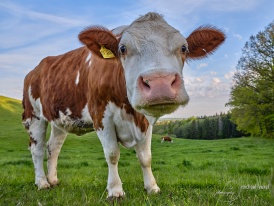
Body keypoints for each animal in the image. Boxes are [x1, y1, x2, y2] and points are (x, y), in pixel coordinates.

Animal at [22, 12, 225, 199]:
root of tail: (34, 70)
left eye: (184, 48)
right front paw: (115, 190)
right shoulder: (101, 115)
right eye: (122, 48)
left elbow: (145, 157)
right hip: (34, 115)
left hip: (60, 118)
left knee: (53, 147)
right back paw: (42, 182)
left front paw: (152, 187)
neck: (130, 113)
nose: (160, 83)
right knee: (37, 149)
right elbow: (112, 154)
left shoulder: (145, 119)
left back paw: (53, 180)